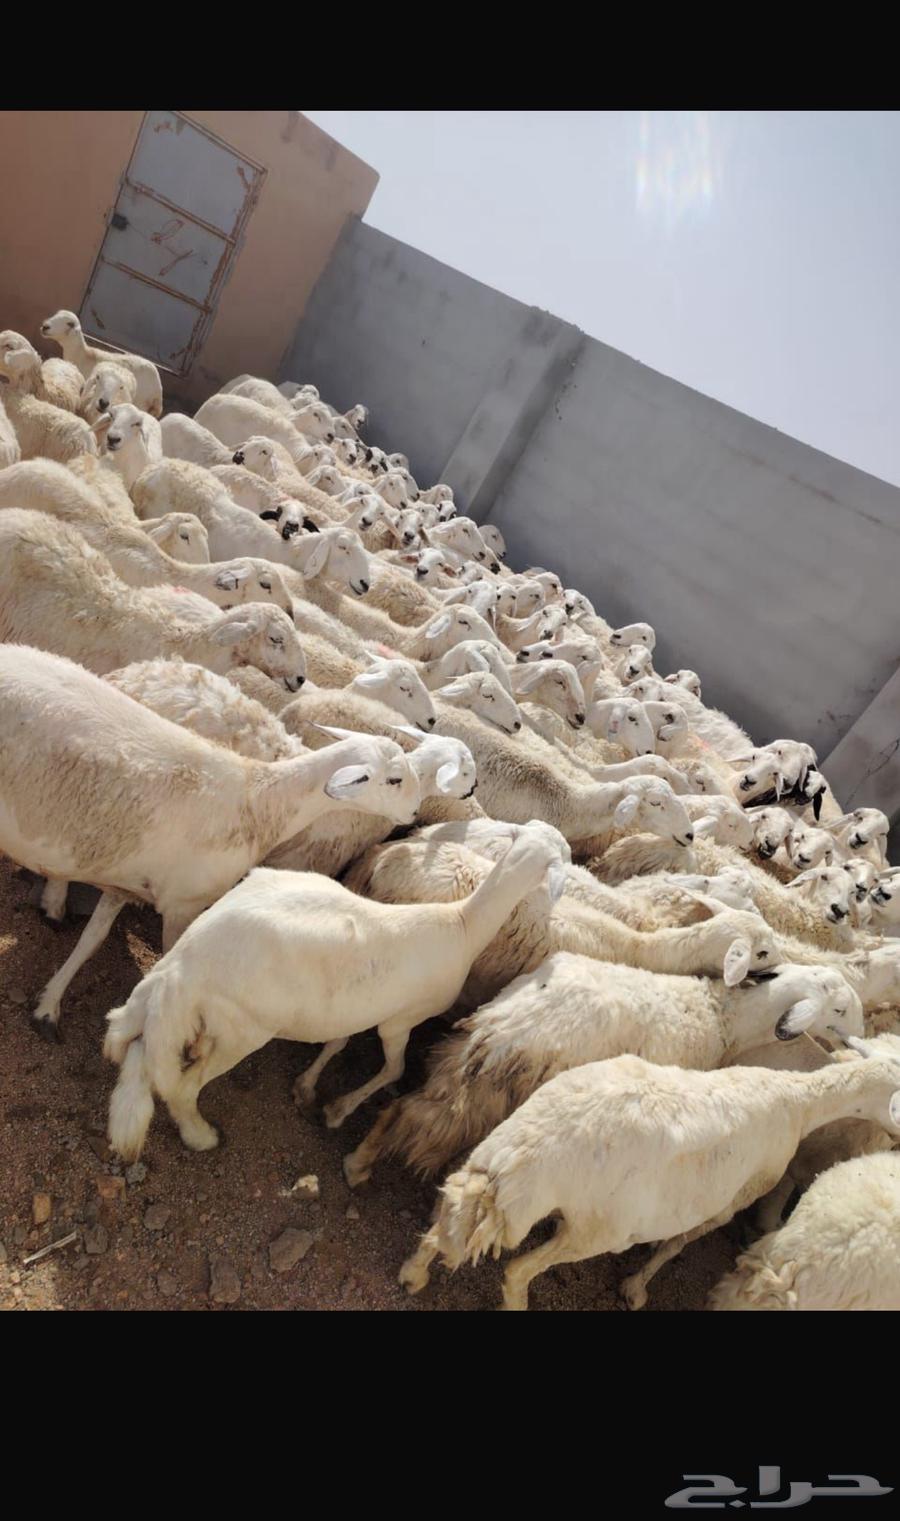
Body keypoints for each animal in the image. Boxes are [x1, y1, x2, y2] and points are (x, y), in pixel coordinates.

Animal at [1, 645, 420, 1034]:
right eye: (394, 779)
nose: (416, 812)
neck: (260, 801)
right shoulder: (183, 905)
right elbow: (163, 965)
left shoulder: (126, 881)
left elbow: (91, 939)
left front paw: (48, 1005)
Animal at [103, 824, 570, 1159]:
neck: (463, 923)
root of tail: (186, 964)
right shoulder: (400, 1020)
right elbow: (394, 1070)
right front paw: (338, 1110)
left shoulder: (355, 1008)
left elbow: (337, 1042)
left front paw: (307, 1088)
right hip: (244, 1030)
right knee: (183, 1088)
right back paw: (200, 1135)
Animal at [344, 960, 862, 1188]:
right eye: (838, 1007)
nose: (861, 1041)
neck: (722, 1017)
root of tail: (507, 1028)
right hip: (500, 1092)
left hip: (461, 1061)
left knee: (406, 1104)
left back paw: (355, 1154)